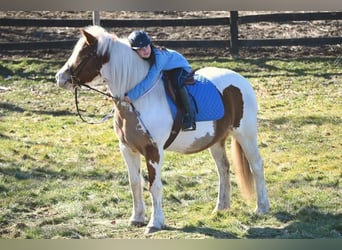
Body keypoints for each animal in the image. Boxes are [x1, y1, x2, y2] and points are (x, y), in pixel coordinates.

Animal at [55, 24, 270, 233]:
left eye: (85, 55)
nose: (60, 78)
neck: (138, 98)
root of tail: (241, 80)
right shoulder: (127, 149)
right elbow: (135, 184)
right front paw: (137, 218)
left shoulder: (153, 151)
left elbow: (154, 185)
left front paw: (155, 222)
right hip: (216, 140)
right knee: (223, 169)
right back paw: (221, 208)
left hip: (246, 134)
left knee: (257, 166)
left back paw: (261, 207)